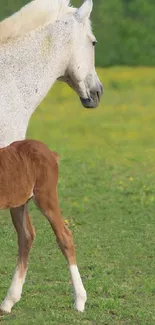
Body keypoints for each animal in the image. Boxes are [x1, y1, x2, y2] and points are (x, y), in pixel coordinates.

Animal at [0, 139, 86, 314]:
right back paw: (8, 302)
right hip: (19, 201)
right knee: (26, 236)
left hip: (46, 196)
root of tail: (50, 152)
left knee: (64, 236)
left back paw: (80, 301)